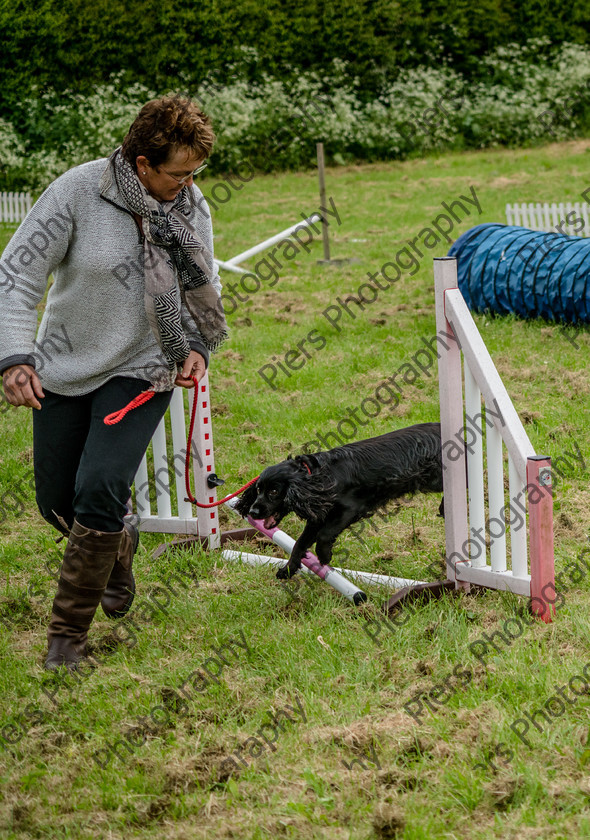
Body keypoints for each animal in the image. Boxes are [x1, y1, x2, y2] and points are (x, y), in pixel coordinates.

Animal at [236, 426, 444, 576]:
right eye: (258, 490)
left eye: (274, 491)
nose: (253, 512)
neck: (317, 478)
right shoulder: (318, 516)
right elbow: (299, 544)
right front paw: (288, 570)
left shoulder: (350, 509)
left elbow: (324, 535)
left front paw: (324, 556)